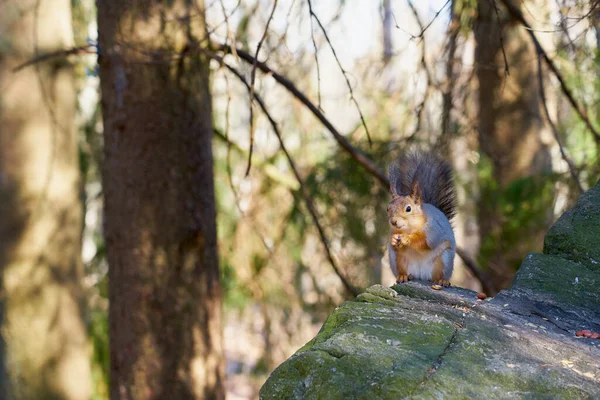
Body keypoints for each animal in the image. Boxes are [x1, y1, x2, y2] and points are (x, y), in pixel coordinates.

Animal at [386, 151, 458, 288]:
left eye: (408, 209)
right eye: (388, 208)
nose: (393, 222)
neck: (410, 228)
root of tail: (421, 276)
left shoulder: (434, 230)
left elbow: (424, 242)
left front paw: (407, 239)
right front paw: (393, 240)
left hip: (444, 260)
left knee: (439, 275)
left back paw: (441, 280)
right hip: (397, 260)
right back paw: (403, 276)